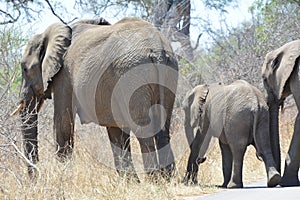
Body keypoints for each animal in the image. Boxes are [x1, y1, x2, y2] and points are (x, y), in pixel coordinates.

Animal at [12, 17, 178, 180]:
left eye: (25, 69)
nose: (34, 179)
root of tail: (158, 50)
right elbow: (116, 131)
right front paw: (130, 181)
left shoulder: (64, 76)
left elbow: (62, 123)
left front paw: (63, 176)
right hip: (167, 70)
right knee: (164, 127)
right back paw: (167, 179)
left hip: (133, 73)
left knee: (143, 129)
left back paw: (153, 180)